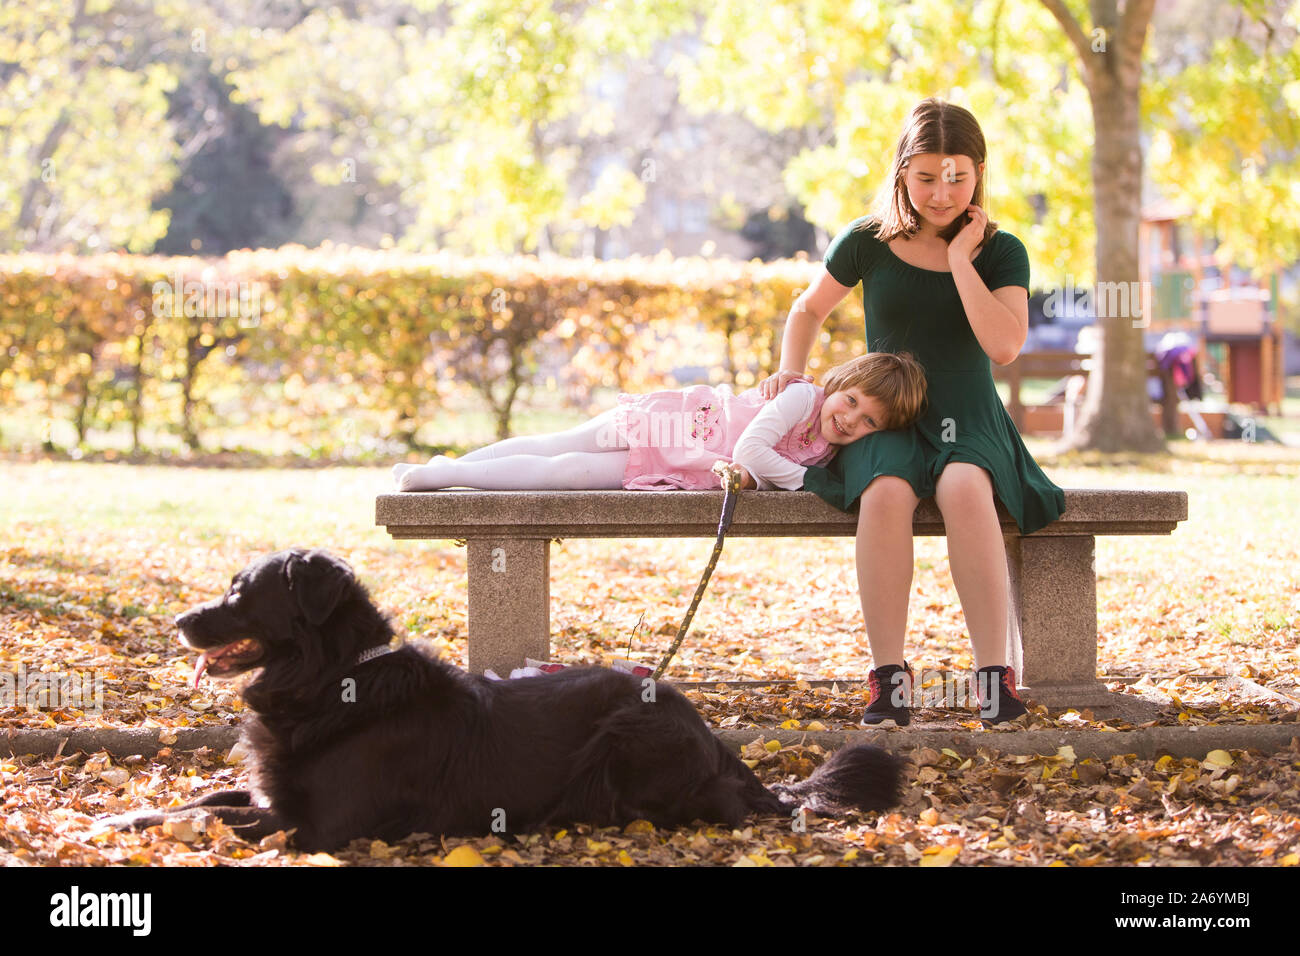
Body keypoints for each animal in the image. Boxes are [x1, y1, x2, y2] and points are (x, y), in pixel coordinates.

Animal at [109, 548, 904, 858]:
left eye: (241, 594)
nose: (179, 621)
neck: (335, 680)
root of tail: (720, 747)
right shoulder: (273, 793)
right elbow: (203, 800)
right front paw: (123, 815)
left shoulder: (316, 826)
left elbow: (215, 819)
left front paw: (130, 822)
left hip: (627, 731)